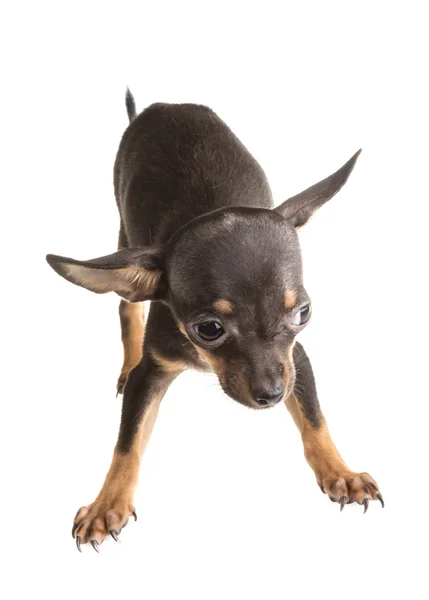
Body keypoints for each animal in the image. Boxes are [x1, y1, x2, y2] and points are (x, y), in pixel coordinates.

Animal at [47, 89, 384, 552]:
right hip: (123, 234)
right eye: (209, 329)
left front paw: (340, 473)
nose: (271, 395)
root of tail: (160, 107)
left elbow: (315, 418)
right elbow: (127, 443)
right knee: (127, 306)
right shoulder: (152, 372)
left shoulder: (296, 362)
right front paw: (107, 505)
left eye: (303, 312)